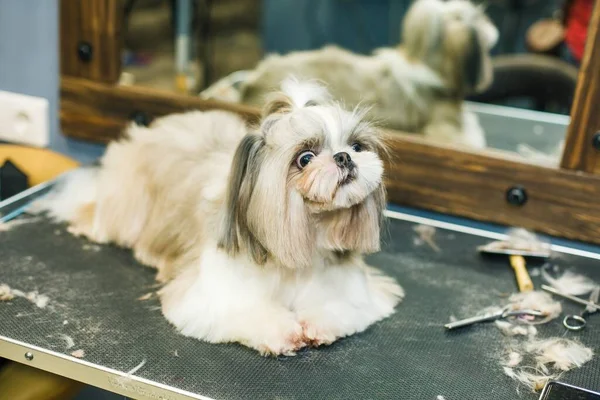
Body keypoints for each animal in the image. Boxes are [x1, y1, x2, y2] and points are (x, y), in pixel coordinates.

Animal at [36, 79, 404, 356]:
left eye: (356, 146)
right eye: (305, 158)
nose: (344, 157)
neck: (304, 236)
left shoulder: (344, 285)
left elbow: (336, 305)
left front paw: (318, 323)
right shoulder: (218, 292)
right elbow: (248, 311)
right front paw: (281, 332)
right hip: (124, 208)